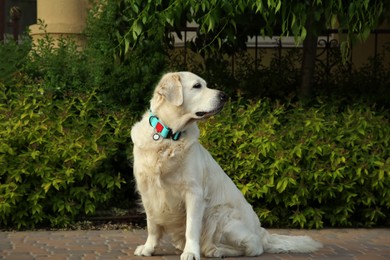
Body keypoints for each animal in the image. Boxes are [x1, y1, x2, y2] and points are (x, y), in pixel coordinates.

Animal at [132, 71, 322, 260]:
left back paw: (215, 250)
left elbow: (191, 227)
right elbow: (152, 225)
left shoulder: (194, 192)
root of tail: (262, 232)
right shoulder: (147, 191)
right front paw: (148, 248)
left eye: (205, 84)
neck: (169, 136)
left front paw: (191, 252)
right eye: (197, 86)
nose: (224, 96)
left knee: (252, 246)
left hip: (221, 215)